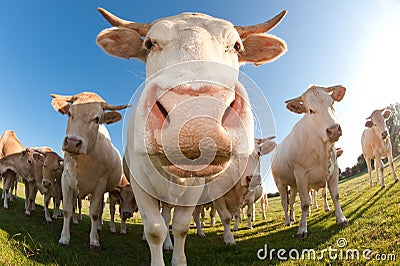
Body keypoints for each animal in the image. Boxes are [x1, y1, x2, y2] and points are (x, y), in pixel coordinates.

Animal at [97, 7, 288, 264]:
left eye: (236, 46)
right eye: (149, 43)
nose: (198, 116)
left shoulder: (196, 188)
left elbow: (180, 227)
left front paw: (178, 257)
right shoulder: (140, 184)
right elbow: (155, 229)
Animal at [270, 84, 348, 237]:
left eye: (332, 103)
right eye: (310, 110)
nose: (334, 130)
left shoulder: (334, 170)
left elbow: (335, 195)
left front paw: (341, 218)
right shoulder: (301, 175)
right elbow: (305, 203)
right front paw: (302, 229)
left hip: (293, 185)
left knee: (291, 201)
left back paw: (293, 218)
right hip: (280, 182)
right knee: (284, 202)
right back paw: (288, 221)